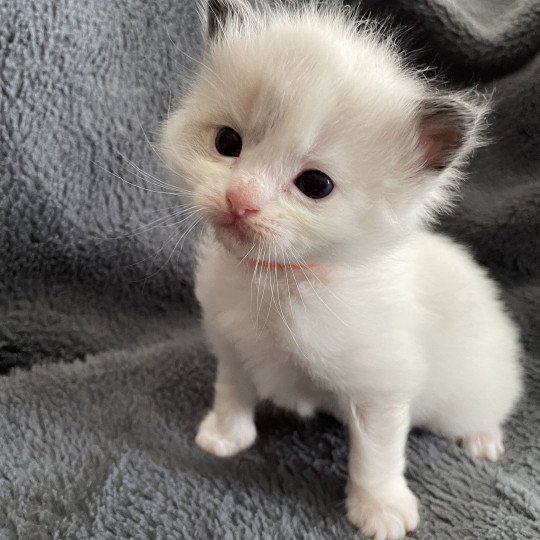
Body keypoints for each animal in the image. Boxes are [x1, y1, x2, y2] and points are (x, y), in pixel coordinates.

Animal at [161, 2, 524, 536]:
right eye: (227, 142)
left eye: (315, 185)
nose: (239, 199)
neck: (280, 279)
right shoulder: (232, 345)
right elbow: (232, 391)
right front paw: (225, 436)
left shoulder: (381, 389)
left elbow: (376, 456)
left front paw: (380, 510)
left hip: (473, 388)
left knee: (486, 407)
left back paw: (482, 439)